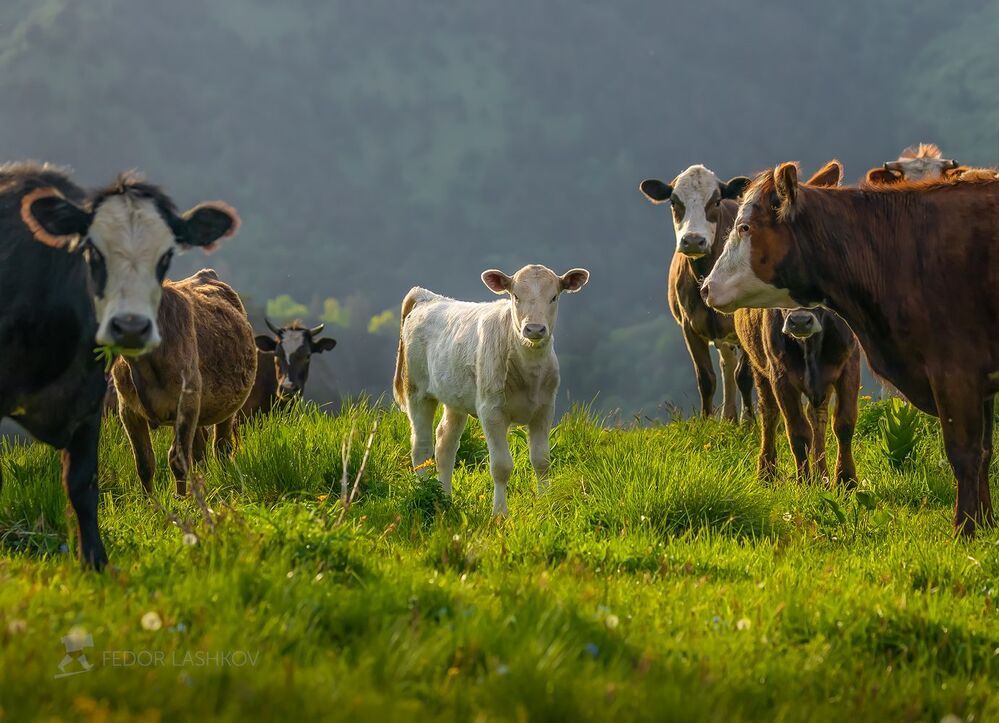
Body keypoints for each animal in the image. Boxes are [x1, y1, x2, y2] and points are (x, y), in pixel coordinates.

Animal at [21, 172, 246, 498]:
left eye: (165, 254)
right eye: (94, 252)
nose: (130, 326)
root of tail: (206, 274)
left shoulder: (188, 401)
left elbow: (176, 458)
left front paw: (182, 503)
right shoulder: (128, 410)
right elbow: (145, 462)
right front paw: (152, 504)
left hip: (226, 407)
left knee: (221, 444)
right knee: (201, 447)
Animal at [393, 264, 589, 515]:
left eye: (554, 297)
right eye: (515, 296)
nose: (534, 329)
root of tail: (427, 297)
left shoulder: (545, 409)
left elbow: (542, 461)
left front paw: (546, 503)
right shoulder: (491, 411)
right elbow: (501, 466)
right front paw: (500, 513)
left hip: (455, 396)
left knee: (445, 443)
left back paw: (444, 498)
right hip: (417, 391)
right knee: (422, 446)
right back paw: (424, 493)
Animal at [639, 166, 753, 420]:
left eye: (716, 201)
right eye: (673, 202)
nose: (692, 240)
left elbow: (745, 376)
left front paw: (750, 422)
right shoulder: (690, 326)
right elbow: (706, 378)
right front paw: (706, 420)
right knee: (727, 364)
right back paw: (729, 417)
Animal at [701, 162, 999, 536]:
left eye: (745, 227)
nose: (706, 287)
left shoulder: (955, 371)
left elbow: (966, 454)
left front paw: (966, 529)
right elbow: (984, 452)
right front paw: (985, 524)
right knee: (774, 416)